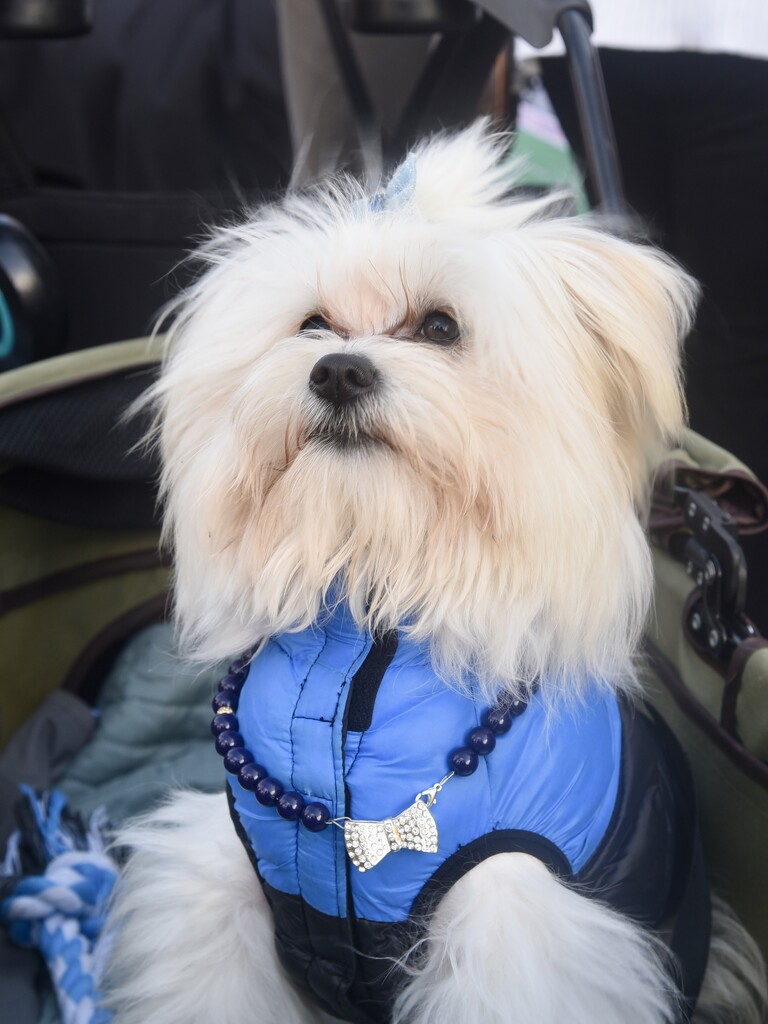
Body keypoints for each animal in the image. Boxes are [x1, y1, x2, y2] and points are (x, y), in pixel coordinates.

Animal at [105, 123, 765, 1019]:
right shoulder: (226, 877)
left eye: (443, 328)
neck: (366, 613)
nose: (338, 370)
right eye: (312, 324)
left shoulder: (516, 925)